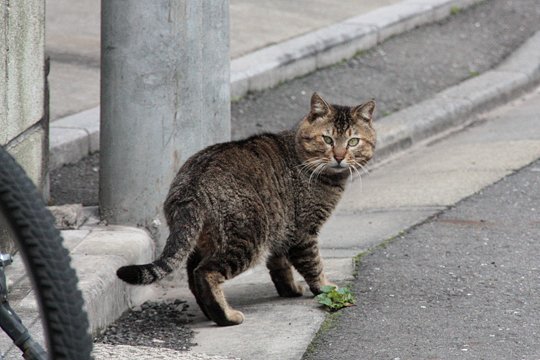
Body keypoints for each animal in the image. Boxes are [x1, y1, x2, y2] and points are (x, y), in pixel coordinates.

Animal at [117, 93, 376, 326]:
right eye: (328, 140)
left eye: (353, 142)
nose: (339, 157)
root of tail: (191, 186)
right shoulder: (303, 232)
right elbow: (314, 265)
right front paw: (325, 287)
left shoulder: (282, 229)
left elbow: (280, 265)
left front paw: (290, 289)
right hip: (248, 237)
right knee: (205, 272)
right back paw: (226, 316)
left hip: (209, 240)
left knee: (192, 273)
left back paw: (210, 312)